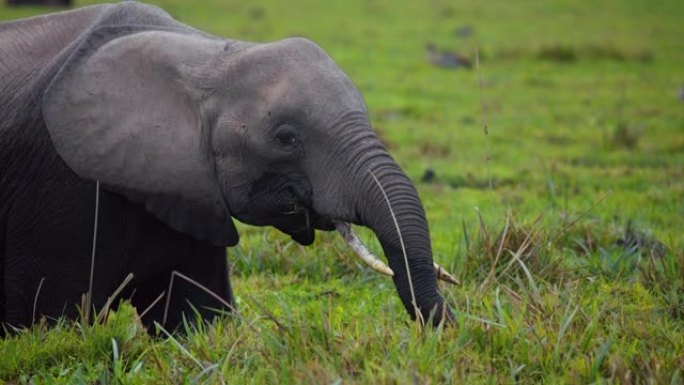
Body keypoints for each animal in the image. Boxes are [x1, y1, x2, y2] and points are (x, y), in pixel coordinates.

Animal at [1, 1, 454, 332]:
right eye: (286, 138)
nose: (448, 325)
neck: (206, 58)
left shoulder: (187, 190)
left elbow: (198, 315)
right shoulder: (58, 196)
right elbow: (56, 319)